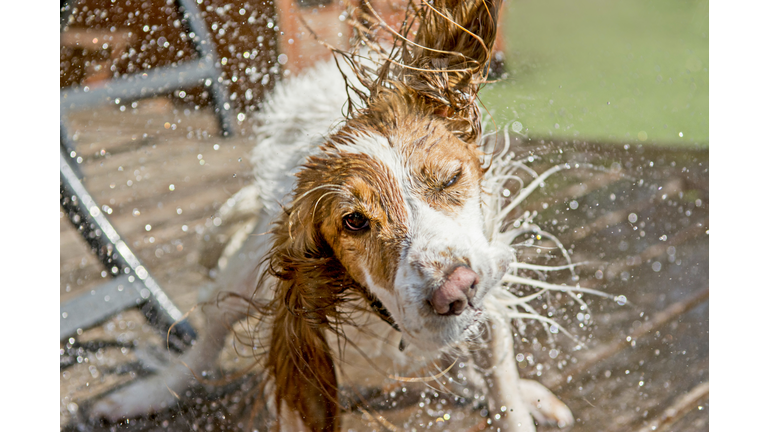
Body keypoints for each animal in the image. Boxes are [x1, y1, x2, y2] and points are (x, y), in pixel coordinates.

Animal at [91, 1, 584, 430]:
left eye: (449, 179)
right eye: (354, 222)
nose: (456, 290)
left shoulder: (490, 302)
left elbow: (503, 388)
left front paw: (518, 398)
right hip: (240, 278)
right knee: (205, 341)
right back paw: (148, 394)